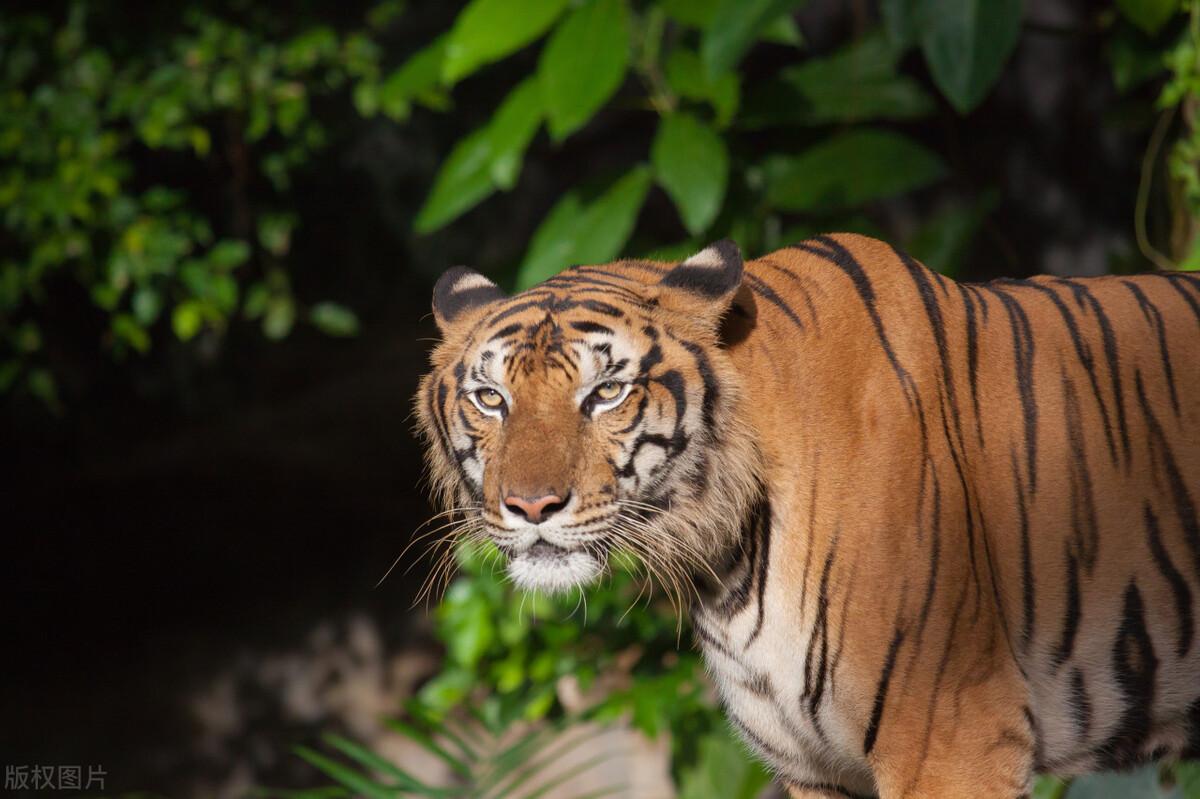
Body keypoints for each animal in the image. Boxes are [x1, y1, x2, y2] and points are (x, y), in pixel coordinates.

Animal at [415, 233, 1200, 796]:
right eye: (491, 398)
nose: (530, 505)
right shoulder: (816, 765)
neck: (729, 561)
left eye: (606, 392)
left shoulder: (953, 733)